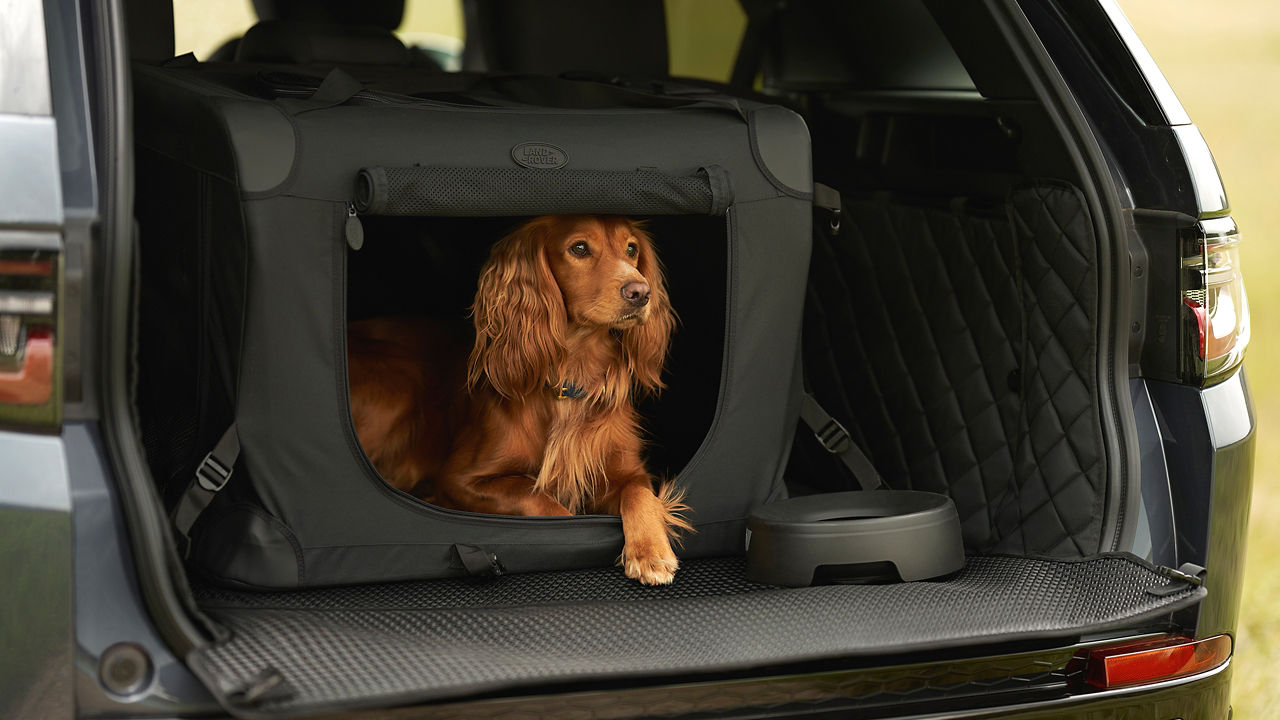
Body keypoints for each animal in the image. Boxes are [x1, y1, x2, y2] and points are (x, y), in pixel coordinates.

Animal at [348, 213, 691, 584]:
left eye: (631, 249)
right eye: (579, 248)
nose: (640, 292)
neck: (572, 375)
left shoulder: (626, 468)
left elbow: (639, 492)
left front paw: (651, 551)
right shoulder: (461, 479)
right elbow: (542, 501)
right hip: (397, 381)